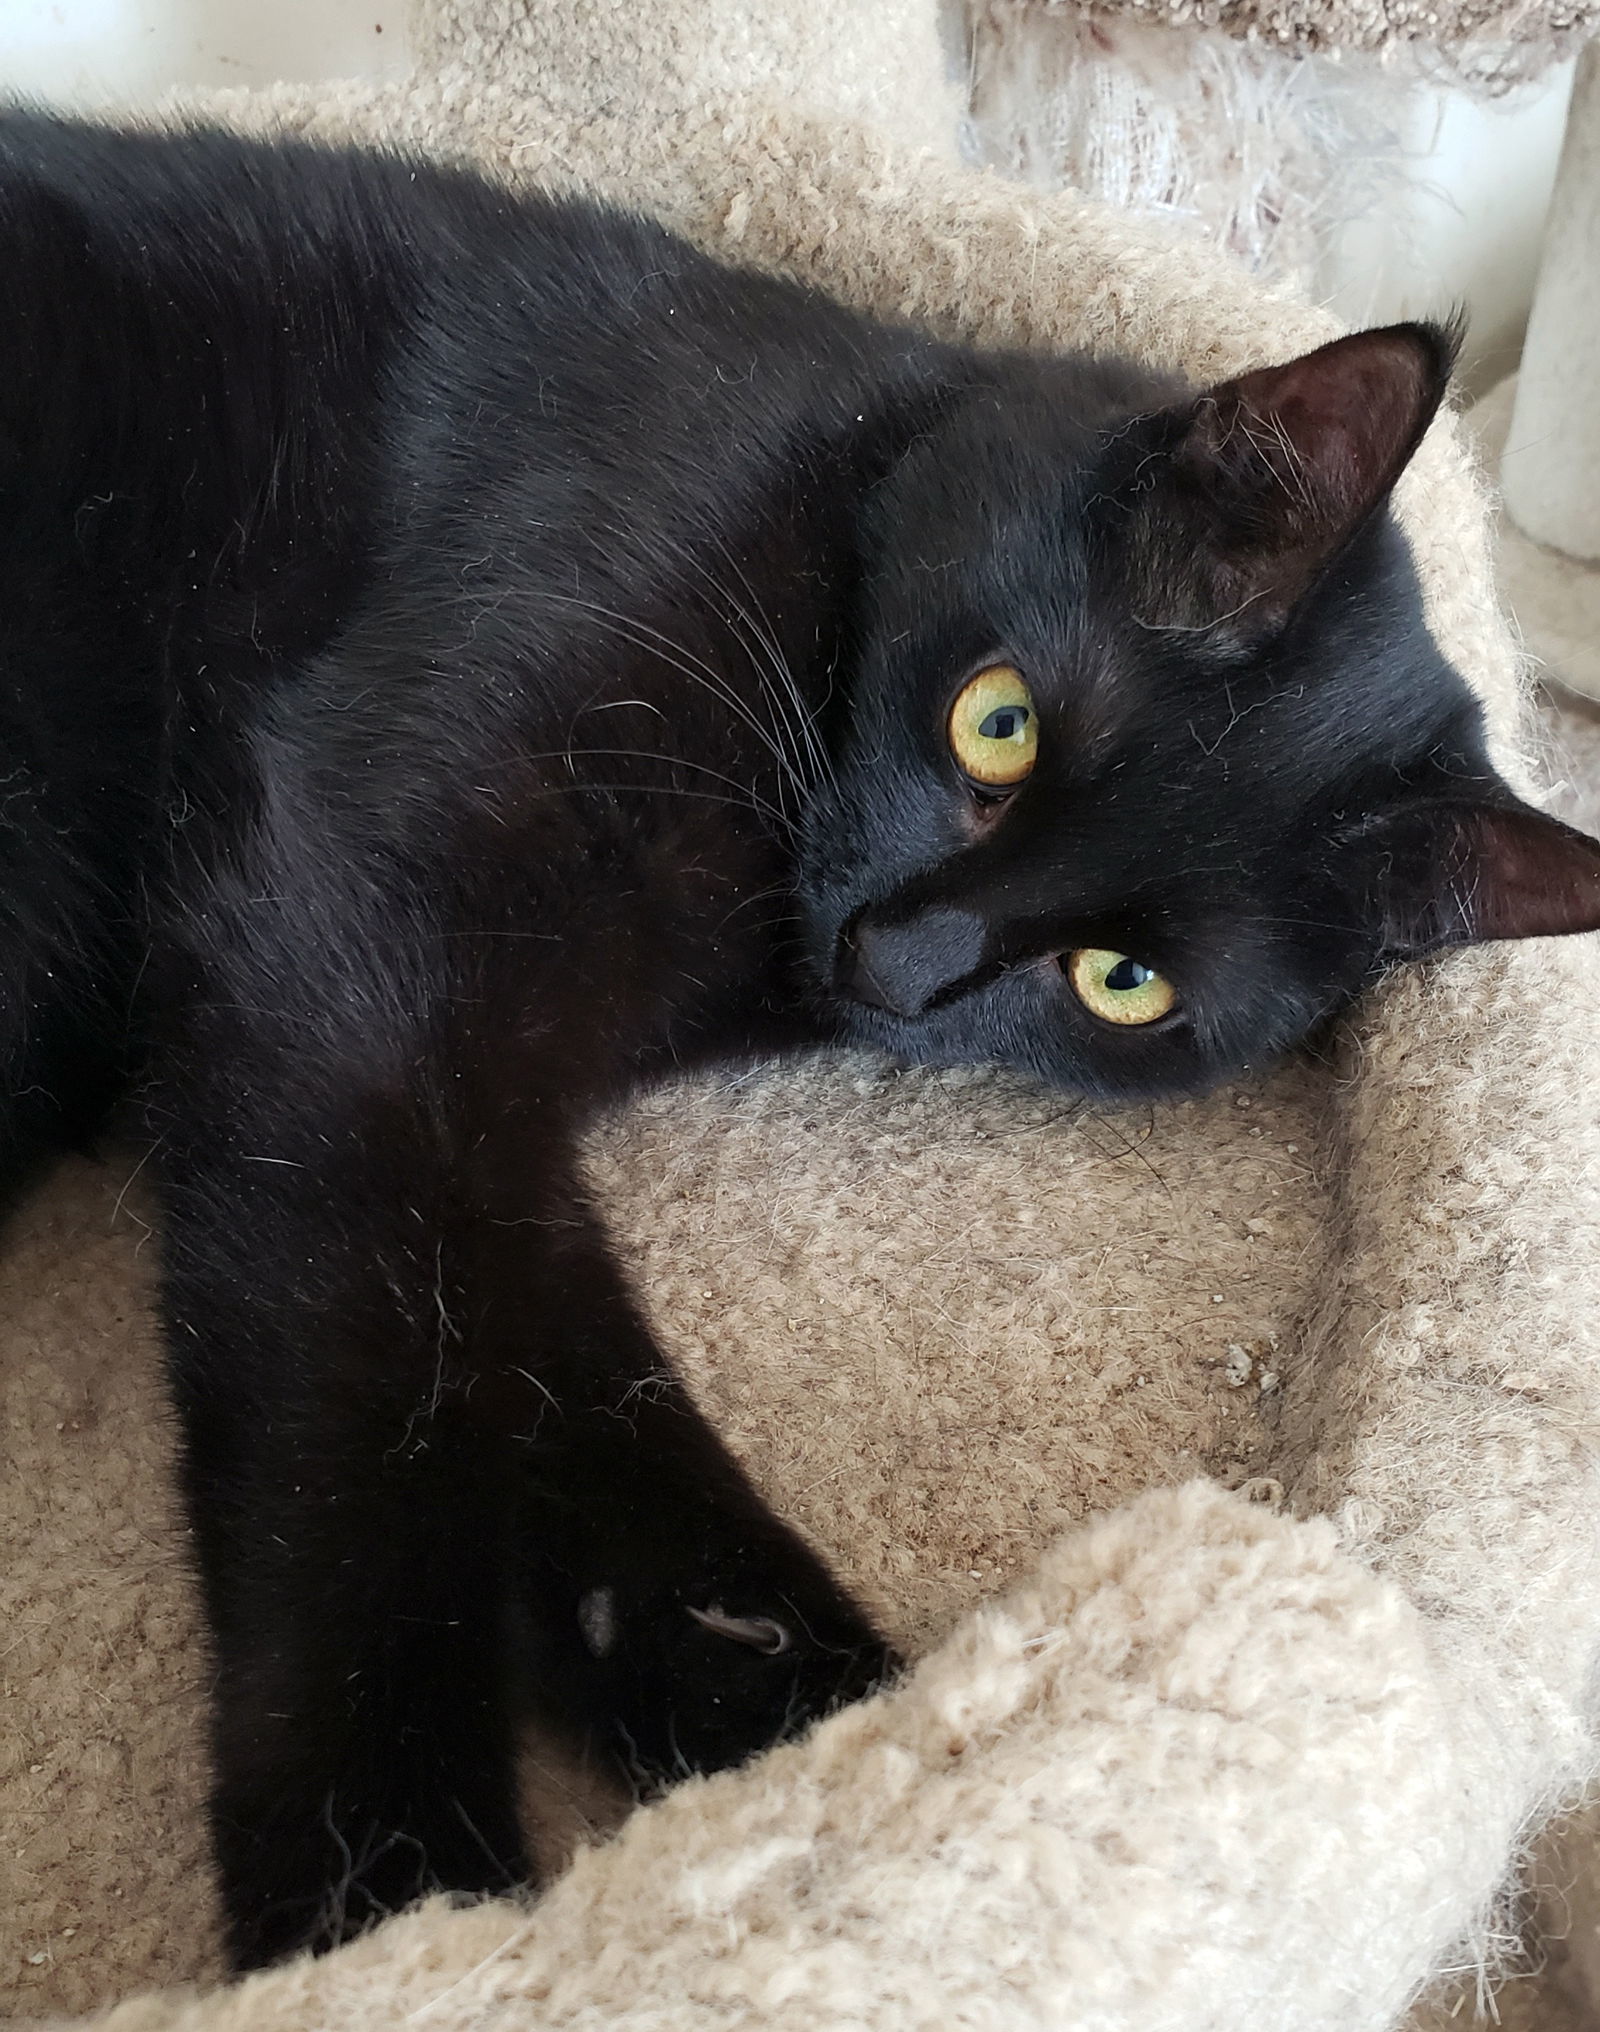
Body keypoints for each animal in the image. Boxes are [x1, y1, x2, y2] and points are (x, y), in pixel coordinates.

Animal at [6, 115, 1593, 1966]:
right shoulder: (345, 951)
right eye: (998, 723)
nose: (897, 962)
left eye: (1124, 982)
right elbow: (361, 1425)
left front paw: (801, 1727)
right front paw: (387, 1900)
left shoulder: (476, 1083)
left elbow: (549, 1360)